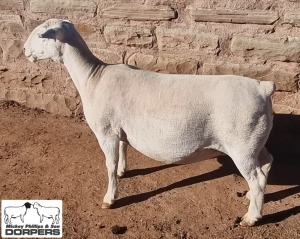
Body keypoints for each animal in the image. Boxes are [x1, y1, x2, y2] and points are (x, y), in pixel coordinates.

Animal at [24, 18, 276, 226]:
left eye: (41, 34)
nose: (24, 49)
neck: (93, 77)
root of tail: (263, 88)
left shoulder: (106, 131)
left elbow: (109, 164)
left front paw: (109, 198)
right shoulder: (119, 129)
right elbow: (123, 150)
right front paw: (123, 171)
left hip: (241, 145)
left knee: (255, 177)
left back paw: (251, 217)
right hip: (255, 141)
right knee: (265, 164)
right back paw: (252, 198)